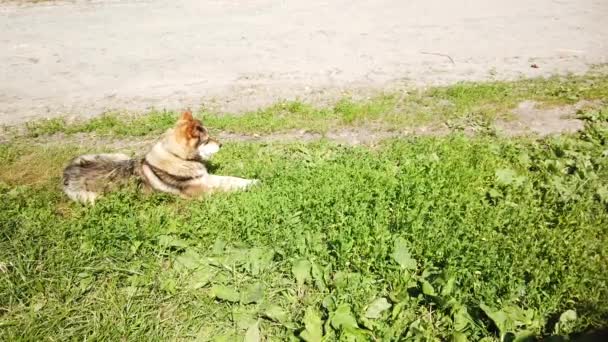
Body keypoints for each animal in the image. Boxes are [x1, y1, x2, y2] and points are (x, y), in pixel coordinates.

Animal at [63, 111, 258, 204]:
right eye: (207, 139)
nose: (221, 144)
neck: (178, 157)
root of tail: (67, 171)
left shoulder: (206, 178)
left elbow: (232, 179)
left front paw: (252, 181)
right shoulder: (202, 190)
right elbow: (226, 188)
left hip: (119, 155)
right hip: (90, 197)